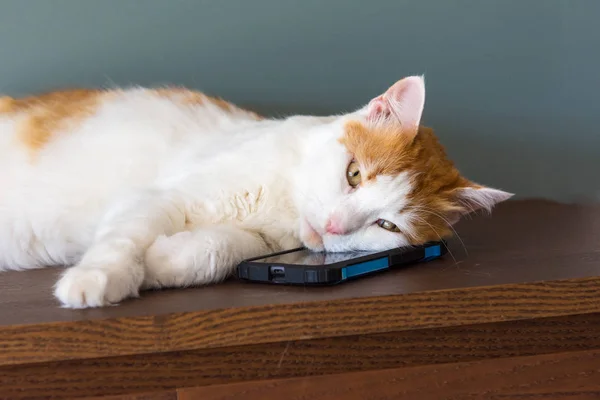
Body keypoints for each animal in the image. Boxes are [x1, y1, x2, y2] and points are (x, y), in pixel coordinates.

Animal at [0, 77, 510, 310]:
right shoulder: (156, 198)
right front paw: (97, 278)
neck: (282, 202)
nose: (333, 226)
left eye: (386, 225)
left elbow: (215, 250)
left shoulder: (259, 243)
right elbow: (121, 241)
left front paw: (160, 263)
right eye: (353, 174)